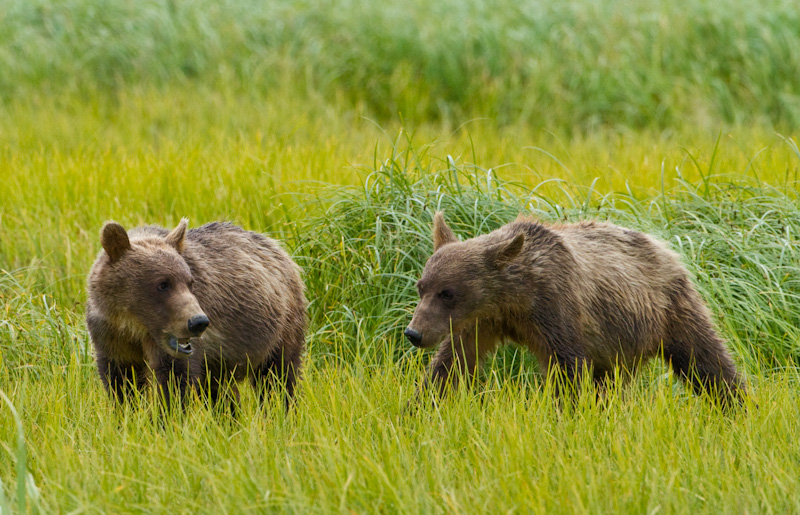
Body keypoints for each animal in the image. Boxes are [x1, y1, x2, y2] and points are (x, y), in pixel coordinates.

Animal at [86, 218, 306, 412]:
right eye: (162, 284)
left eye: (189, 282)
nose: (198, 322)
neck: (133, 324)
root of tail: (277, 247)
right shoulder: (110, 336)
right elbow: (121, 383)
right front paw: (125, 417)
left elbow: (174, 382)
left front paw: (165, 421)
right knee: (222, 392)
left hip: (281, 327)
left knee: (277, 378)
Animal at [406, 212, 744, 406]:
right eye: (421, 287)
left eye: (448, 292)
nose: (414, 333)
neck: (513, 300)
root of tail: (663, 246)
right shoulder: (481, 322)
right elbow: (451, 363)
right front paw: (418, 407)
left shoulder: (556, 308)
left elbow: (568, 369)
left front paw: (565, 415)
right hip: (617, 346)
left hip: (669, 308)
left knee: (705, 359)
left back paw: (737, 403)